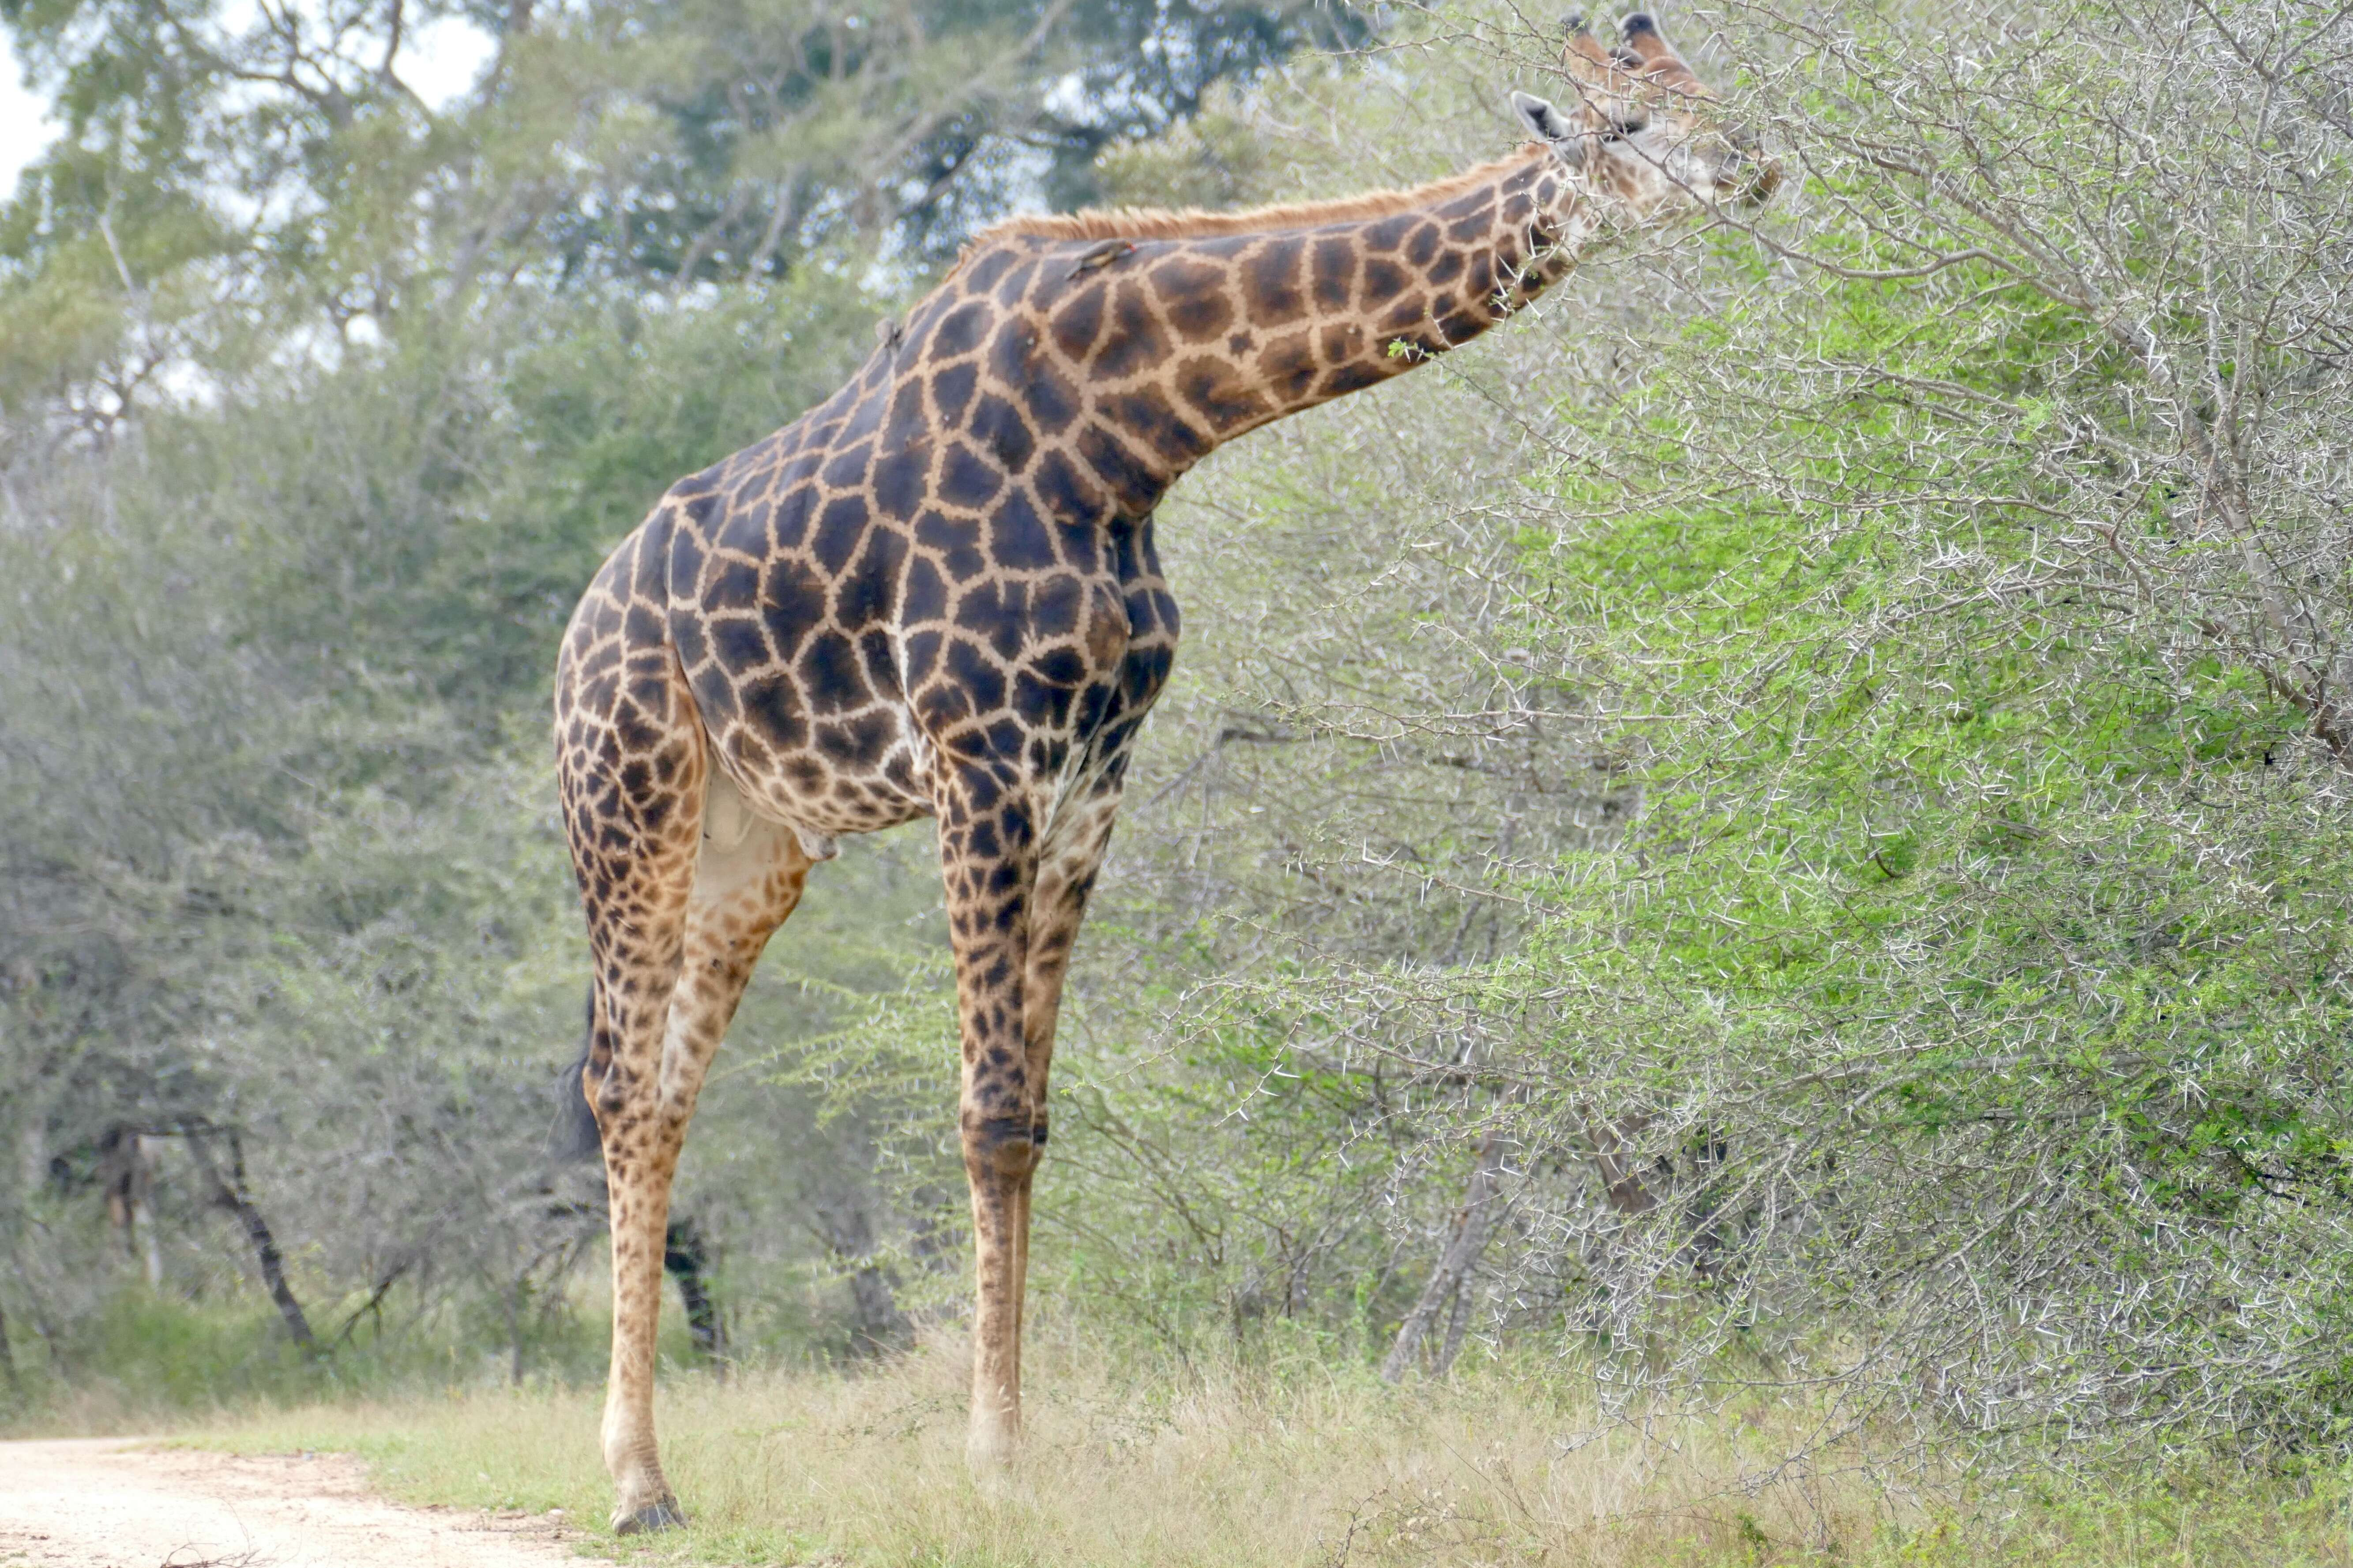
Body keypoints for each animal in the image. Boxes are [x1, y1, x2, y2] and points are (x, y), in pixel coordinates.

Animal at [550, 15, 1769, 1533]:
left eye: (1709, 92)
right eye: (1626, 127)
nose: (1757, 167)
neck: (1124, 437)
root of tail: (576, 632)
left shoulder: (1092, 770)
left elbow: (1032, 1118)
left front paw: (1016, 1443)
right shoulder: (978, 752)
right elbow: (984, 1111)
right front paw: (991, 1457)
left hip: (752, 843)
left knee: (663, 1090)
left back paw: (653, 1471)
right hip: (632, 803)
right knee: (612, 1084)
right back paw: (633, 1483)